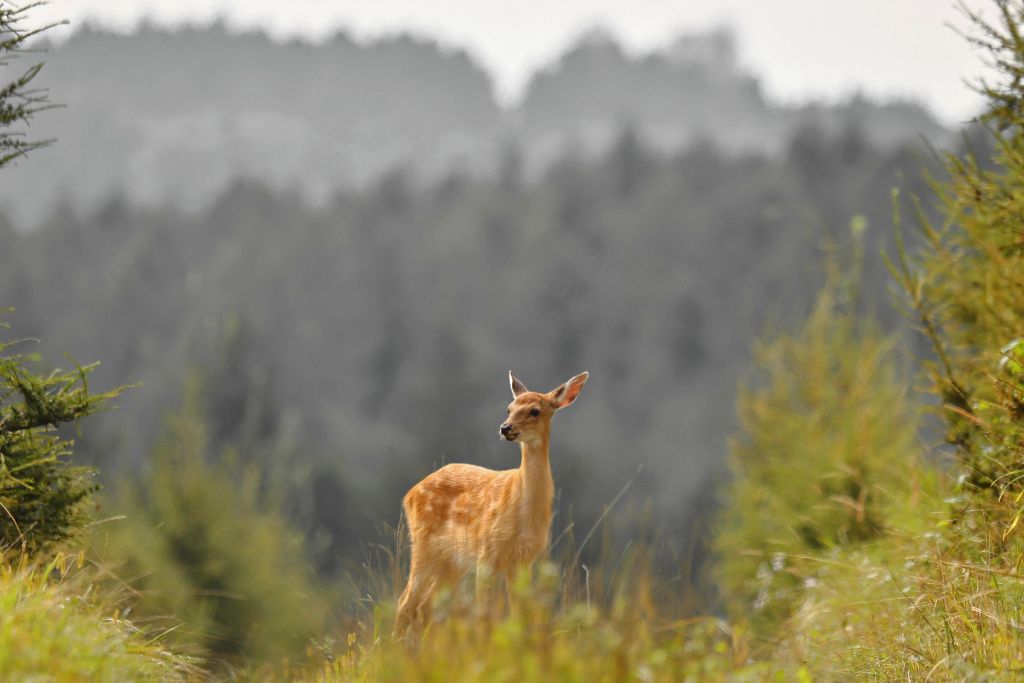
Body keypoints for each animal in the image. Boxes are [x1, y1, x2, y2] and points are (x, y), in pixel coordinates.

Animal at [393, 370, 589, 636]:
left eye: (535, 411)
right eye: (509, 409)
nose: (505, 428)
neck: (523, 511)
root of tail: (409, 494)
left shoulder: (524, 560)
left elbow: (519, 614)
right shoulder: (487, 552)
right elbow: (484, 617)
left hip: (452, 560)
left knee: (424, 606)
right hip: (424, 545)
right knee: (405, 603)